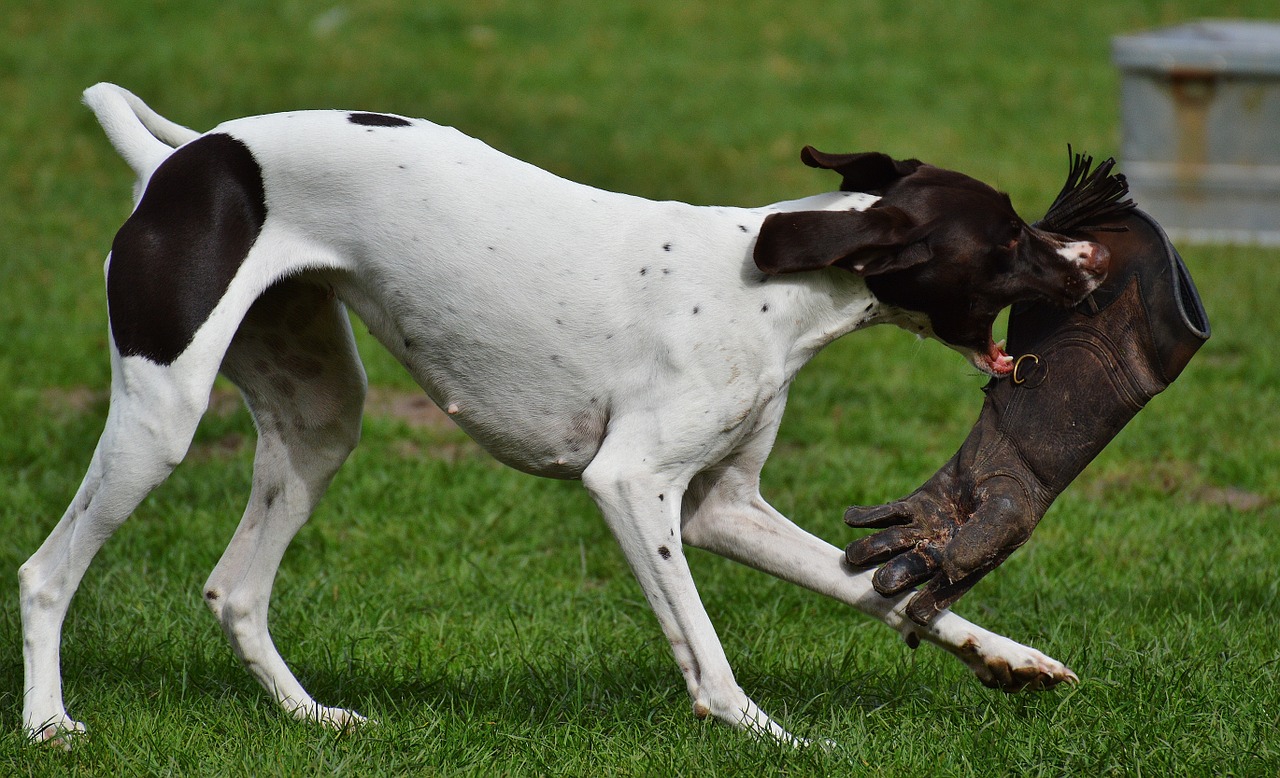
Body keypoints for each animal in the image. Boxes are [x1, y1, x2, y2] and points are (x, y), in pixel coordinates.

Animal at [20, 81, 1105, 742]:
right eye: (1009, 237)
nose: (1093, 260)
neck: (776, 284)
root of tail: (181, 160)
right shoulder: (631, 484)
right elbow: (703, 639)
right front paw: (762, 729)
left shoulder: (726, 509)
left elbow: (886, 589)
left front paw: (1009, 661)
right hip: (160, 420)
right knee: (45, 572)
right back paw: (46, 723)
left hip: (320, 422)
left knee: (235, 589)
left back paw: (314, 718)